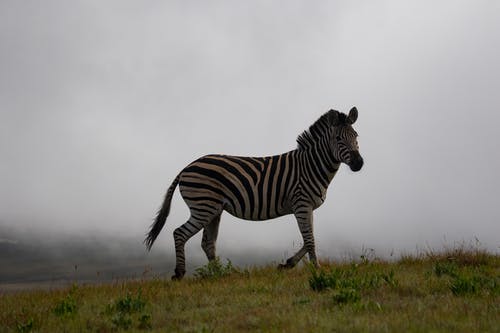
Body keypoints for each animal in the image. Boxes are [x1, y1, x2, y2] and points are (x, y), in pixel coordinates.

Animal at [145, 106, 364, 278]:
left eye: (356, 136)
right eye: (338, 138)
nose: (359, 163)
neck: (310, 166)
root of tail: (187, 166)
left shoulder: (306, 207)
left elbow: (309, 239)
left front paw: (288, 264)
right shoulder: (302, 204)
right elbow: (310, 240)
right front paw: (316, 269)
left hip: (213, 210)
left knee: (207, 243)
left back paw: (219, 274)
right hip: (203, 208)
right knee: (179, 233)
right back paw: (180, 273)